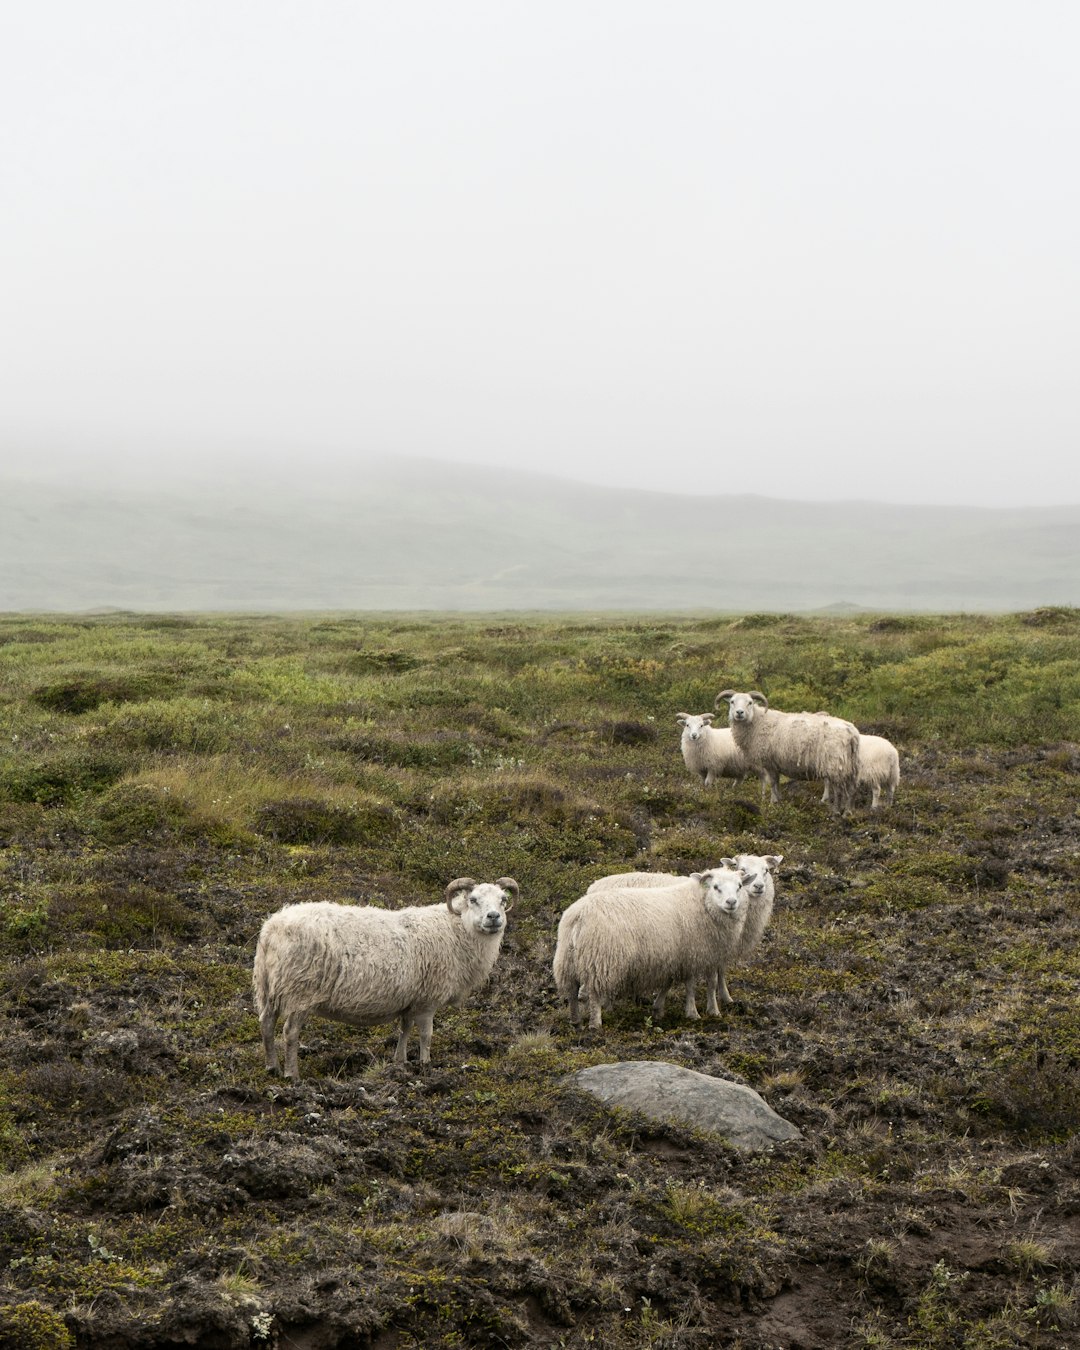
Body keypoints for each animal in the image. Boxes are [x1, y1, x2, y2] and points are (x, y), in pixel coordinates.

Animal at [255, 874, 521, 1074]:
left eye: (502, 899)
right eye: (473, 899)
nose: (494, 917)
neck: (456, 929)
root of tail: (272, 929)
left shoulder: (411, 999)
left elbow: (405, 1029)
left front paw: (400, 1060)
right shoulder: (428, 1001)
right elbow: (426, 1034)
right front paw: (425, 1065)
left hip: (269, 988)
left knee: (266, 1024)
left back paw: (272, 1068)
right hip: (300, 989)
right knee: (290, 1032)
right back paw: (292, 1074)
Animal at [553, 869, 745, 1026]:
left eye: (739, 886)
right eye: (716, 887)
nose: (732, 902)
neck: (701, 903)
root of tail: (579, 916)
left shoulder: (673, 956)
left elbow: (670, 982)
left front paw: (659, 1009)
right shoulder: (691, 955)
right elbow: (690, 986)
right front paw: (693, 1013)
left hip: (567, 960)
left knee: (571, 989)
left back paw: (576, 1021)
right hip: (600, 959)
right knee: (593, 992)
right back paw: (595, 1023)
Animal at [712, 685, 858, 810]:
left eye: (750, 702)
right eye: (732, 701)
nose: (739, 713)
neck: (758, 722)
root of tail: (852, 731)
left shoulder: (769, 763)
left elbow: (772, 783)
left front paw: (773, 802)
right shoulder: (775, 764)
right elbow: (776, 783)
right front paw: (779, 800)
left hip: (834, 762)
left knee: (837, 786)